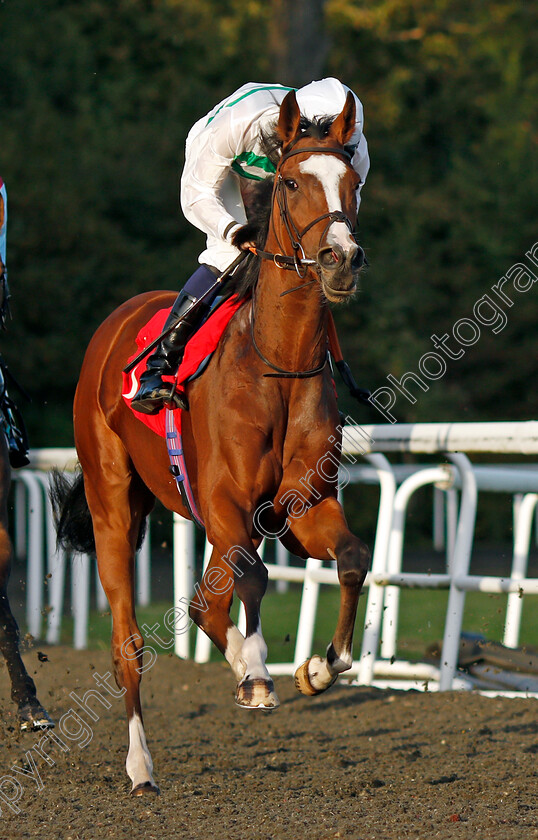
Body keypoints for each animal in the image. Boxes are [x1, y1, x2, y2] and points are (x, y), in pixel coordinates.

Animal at [52, 92, 368, 796]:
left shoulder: (302, 504)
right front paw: (258, 672)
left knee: (203, 601)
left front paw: (320, 665)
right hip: (114, 508)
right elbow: (251, 576)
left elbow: (351, 559)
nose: (340, 258)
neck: (277, 363)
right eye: (290, 182)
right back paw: (141, 765)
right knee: (129, 643)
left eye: (353, 183)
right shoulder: (224, 500)